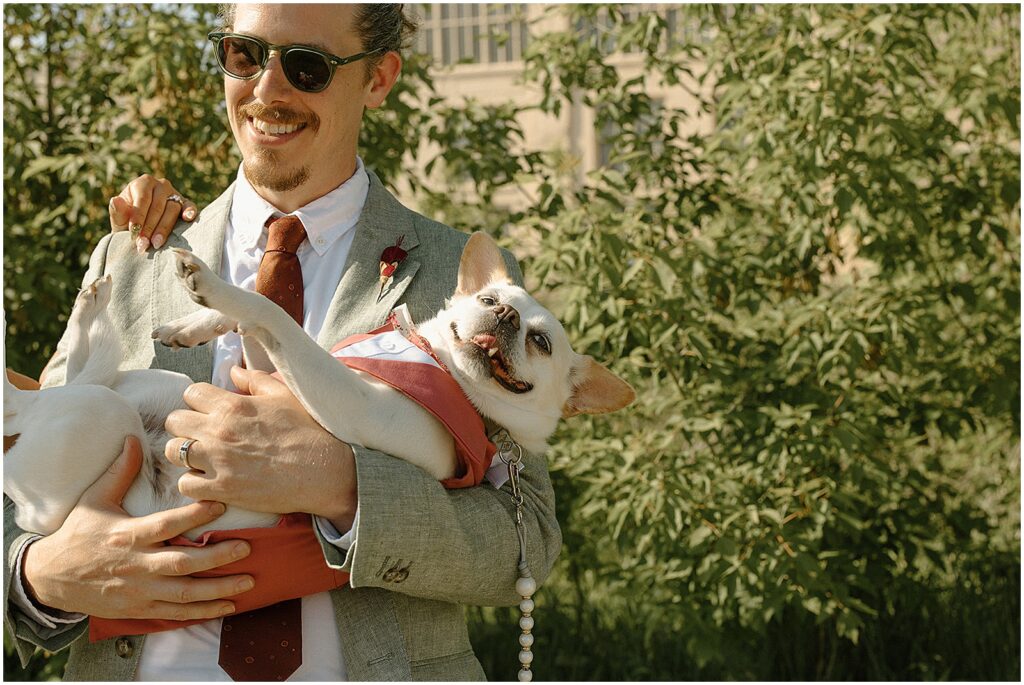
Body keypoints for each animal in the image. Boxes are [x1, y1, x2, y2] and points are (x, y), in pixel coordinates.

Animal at [4, 232, 634, 536]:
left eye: (542, 342)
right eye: (488, 299)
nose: (504, 316)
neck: (436, 359)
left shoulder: (347, 399)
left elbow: (269, 311)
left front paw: (209, 285)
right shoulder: (269, 372)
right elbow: (255, 319)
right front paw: (192, 324)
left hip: (92, 423)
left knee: (45, 403)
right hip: (142, 384)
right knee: (76, 378)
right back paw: (92, 305)